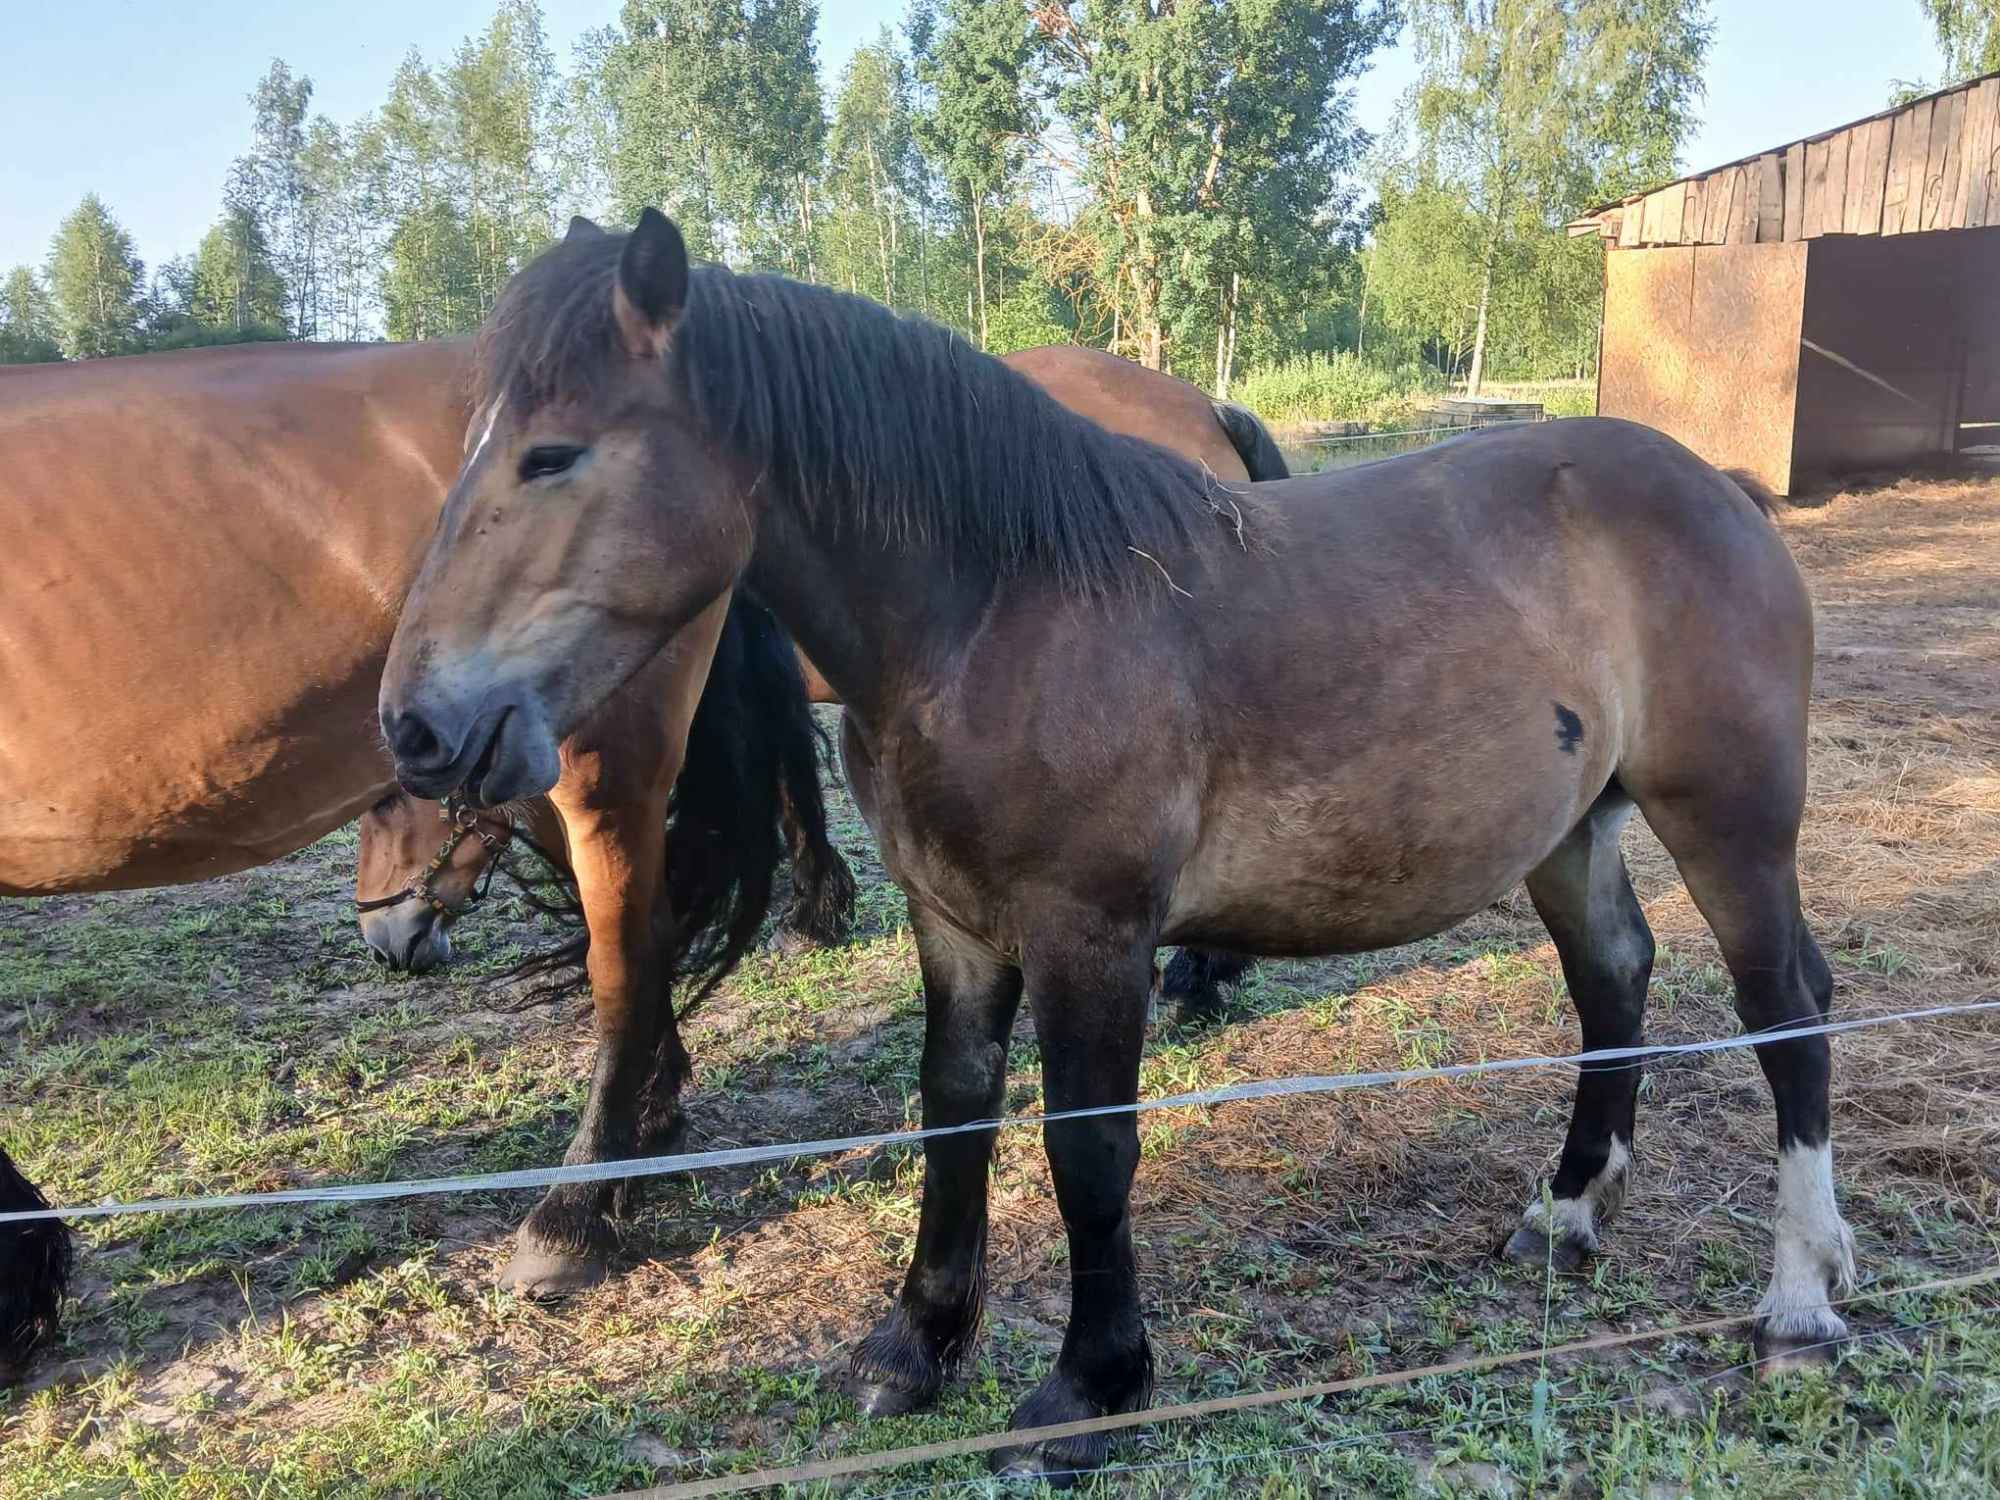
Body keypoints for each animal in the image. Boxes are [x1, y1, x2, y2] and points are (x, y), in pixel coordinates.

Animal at [378, 217, 1856, 1488]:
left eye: (553, 454)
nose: (416, 725)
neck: (996, 610)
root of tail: (1719, 490)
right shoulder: (956, 927)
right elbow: (954, 1114)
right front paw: (917, 1345)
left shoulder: (1090, 936)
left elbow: (1086, 1153)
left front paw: (1091, 1387)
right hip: (1572, 830)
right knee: (1615, 981)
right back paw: (1570, 1213)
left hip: (1730, 822)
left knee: (1788, 1012)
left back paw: (1797, 1305)